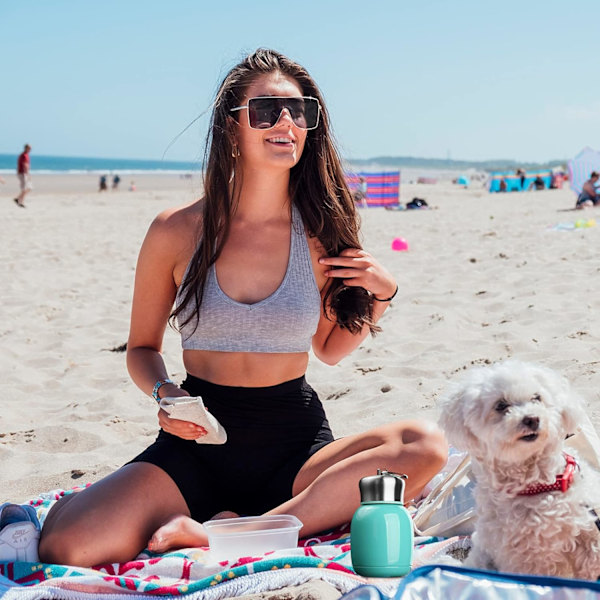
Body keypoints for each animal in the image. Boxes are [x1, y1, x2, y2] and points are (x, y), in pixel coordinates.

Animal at [438, 358, 600, 580]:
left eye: (536, 398)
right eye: (501, 405)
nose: (532, 419)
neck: (539, 485)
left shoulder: (589, 533)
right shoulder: (528, 559)